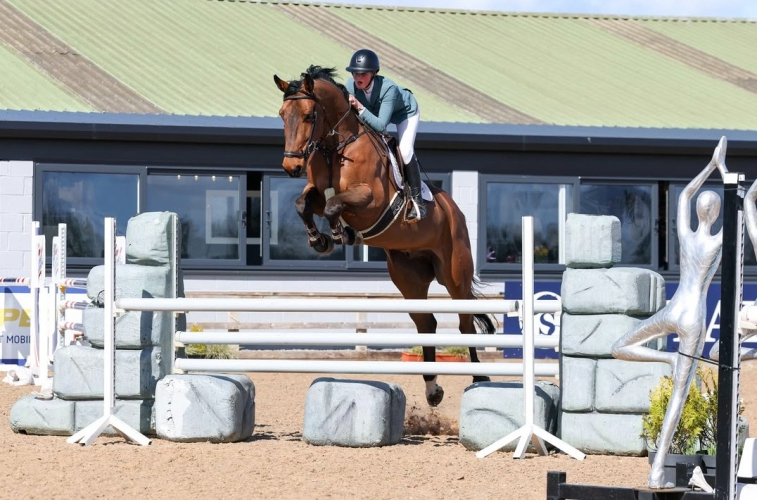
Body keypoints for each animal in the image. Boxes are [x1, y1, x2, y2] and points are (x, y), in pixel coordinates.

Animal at [273, 65, 495, 406]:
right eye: (283, 115)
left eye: (310, 115)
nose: (291, 166)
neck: (337, 146)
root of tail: (454, 210)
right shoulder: (318, 194)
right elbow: (304, 203)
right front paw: (320, 240)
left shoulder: (371, 201)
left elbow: (336, 205)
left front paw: (341, 233)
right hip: (408, 275)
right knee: (426, 322)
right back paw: (432, 389)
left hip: (455, 273)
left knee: (465, 321)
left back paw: (479, 379)